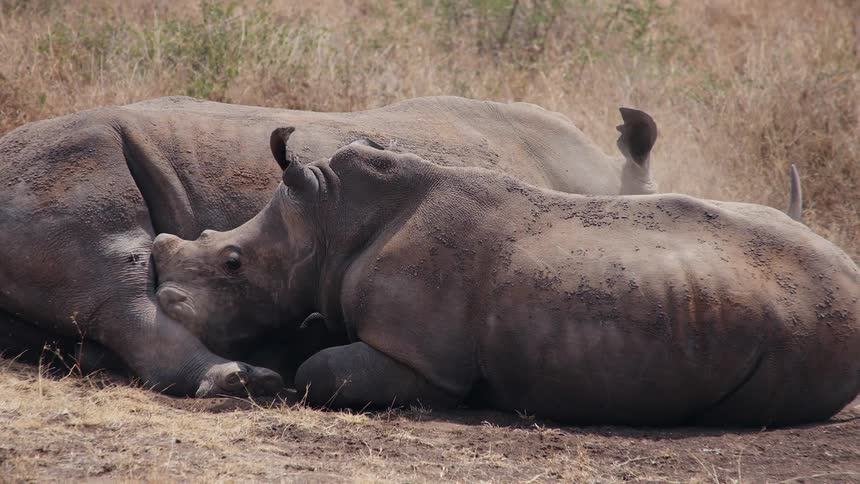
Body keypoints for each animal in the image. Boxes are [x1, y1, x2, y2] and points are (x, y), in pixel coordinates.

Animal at [151, 130, 858, 425]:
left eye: (233, 264)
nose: (166, 299)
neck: (330, 220)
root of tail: (848, 272)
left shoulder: (425, 360)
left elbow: (319, 371)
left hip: (810, 325)